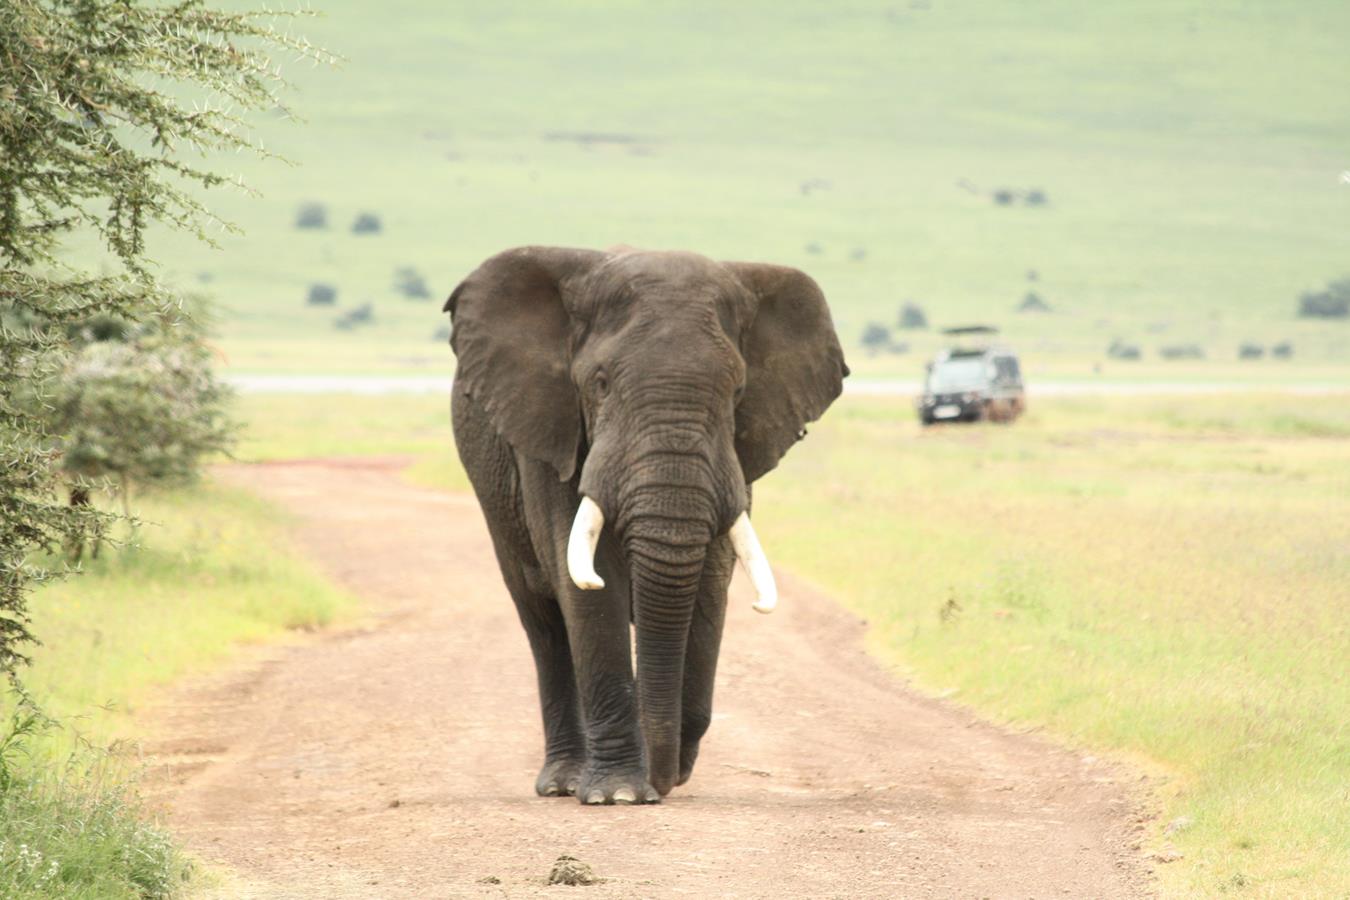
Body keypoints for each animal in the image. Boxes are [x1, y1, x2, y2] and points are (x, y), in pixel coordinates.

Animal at [442, 244, 842, 804]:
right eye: (601, 383)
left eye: (738, 390)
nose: (662, 778)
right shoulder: (551, 431)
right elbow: (583, 587)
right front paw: (619, 795)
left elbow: (709, 586)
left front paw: (662, 774)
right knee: (544, 625)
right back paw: (564, 782)